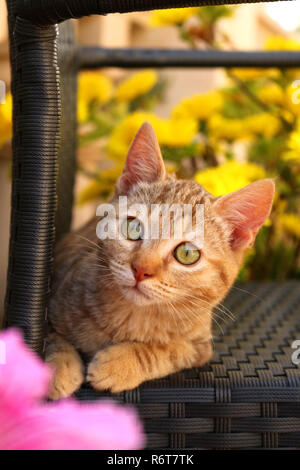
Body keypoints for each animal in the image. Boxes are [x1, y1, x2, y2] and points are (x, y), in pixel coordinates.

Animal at [47, 122, 274, 400]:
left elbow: (167, 350)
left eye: (187, 254)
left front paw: (120, 364)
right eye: (133, 228)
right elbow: (49, 338)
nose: (141, 270)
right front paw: (55, 368)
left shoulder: (198, 347)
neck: (133, 318)